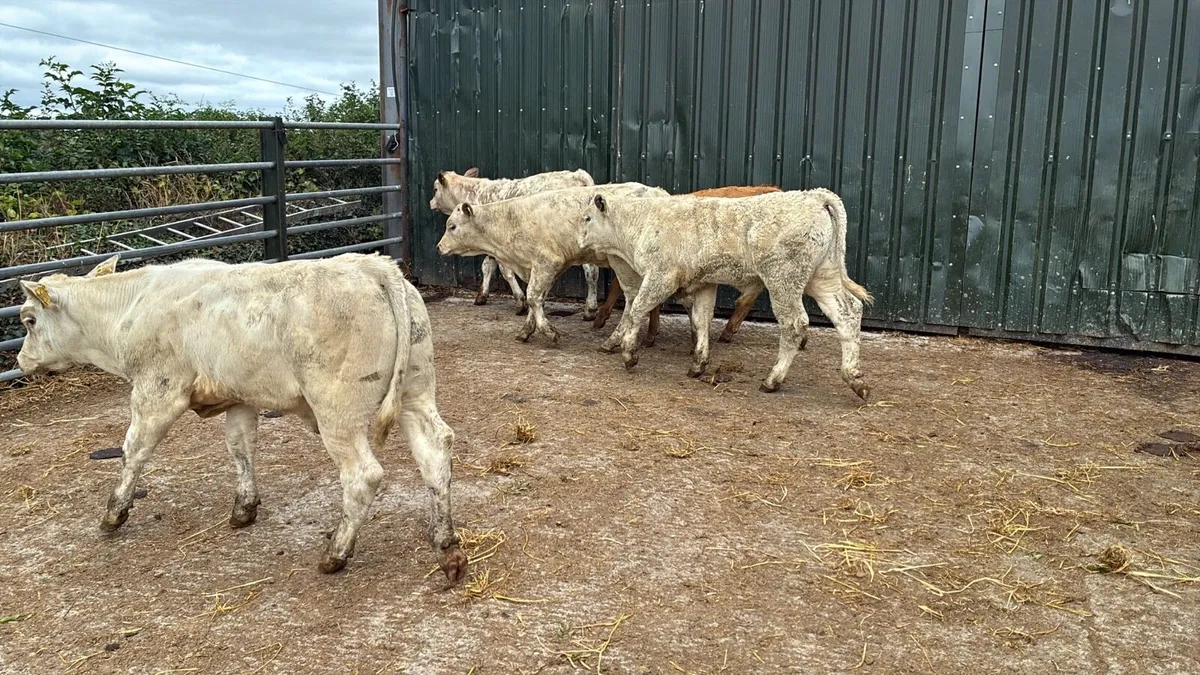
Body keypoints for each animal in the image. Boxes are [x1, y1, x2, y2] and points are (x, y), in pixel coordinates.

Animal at [15, 253, 467, 582]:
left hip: (338, 410)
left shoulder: (157, 390)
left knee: (363, 475)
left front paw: (114, 513)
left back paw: (335, 553)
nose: (20, 361)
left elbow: (135, 449)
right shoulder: (240, 397)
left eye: (30, 320)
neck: (134, 305)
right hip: (416, 390)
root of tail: (374, 267)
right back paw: (446, 547)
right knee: (435, 450)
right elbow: (240, 446)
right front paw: (244, 507)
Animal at [429, 167, 602, 319]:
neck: (478, 195)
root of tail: (577, 175)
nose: (431, 202)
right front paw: (482, 295)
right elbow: (487, 266)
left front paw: (520, 302)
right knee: (592, 270)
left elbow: (506, 272)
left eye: (435, 189)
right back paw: (590, 310)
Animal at [436, 183, 670, 345]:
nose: (439, 247)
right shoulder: (550, 267)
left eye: (452, 226)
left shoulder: (546, 262)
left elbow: (532, 296)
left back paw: (615, 339)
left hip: (623, 263)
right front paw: (526, 330)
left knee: (632, 298)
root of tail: (660, 194)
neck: (510, 220)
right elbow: (538, 298)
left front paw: (549, 332)